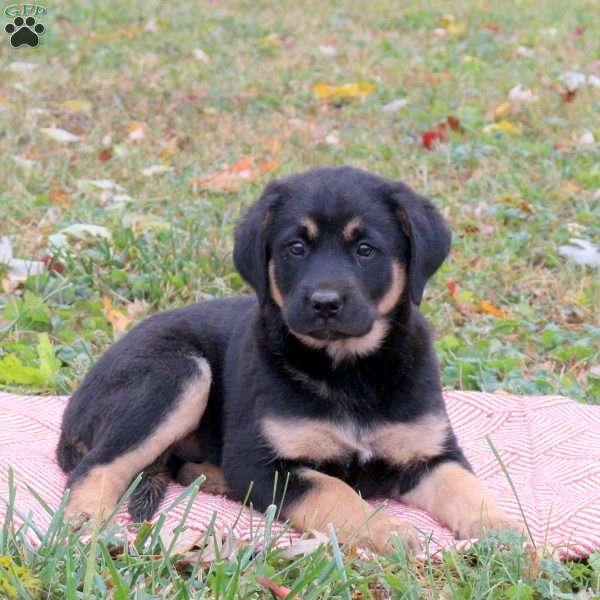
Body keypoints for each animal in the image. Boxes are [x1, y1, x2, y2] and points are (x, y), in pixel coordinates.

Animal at [57, 166, 516, 552]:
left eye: (366, 249)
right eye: (295, 247)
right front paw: (388, 529)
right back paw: (87, 520)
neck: (349, 370)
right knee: (96, 466)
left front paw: (502, 529)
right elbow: (333, 490)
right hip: (177, 373)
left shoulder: (431, 454)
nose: (325, 302)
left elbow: (465, 486)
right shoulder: (260, 463)